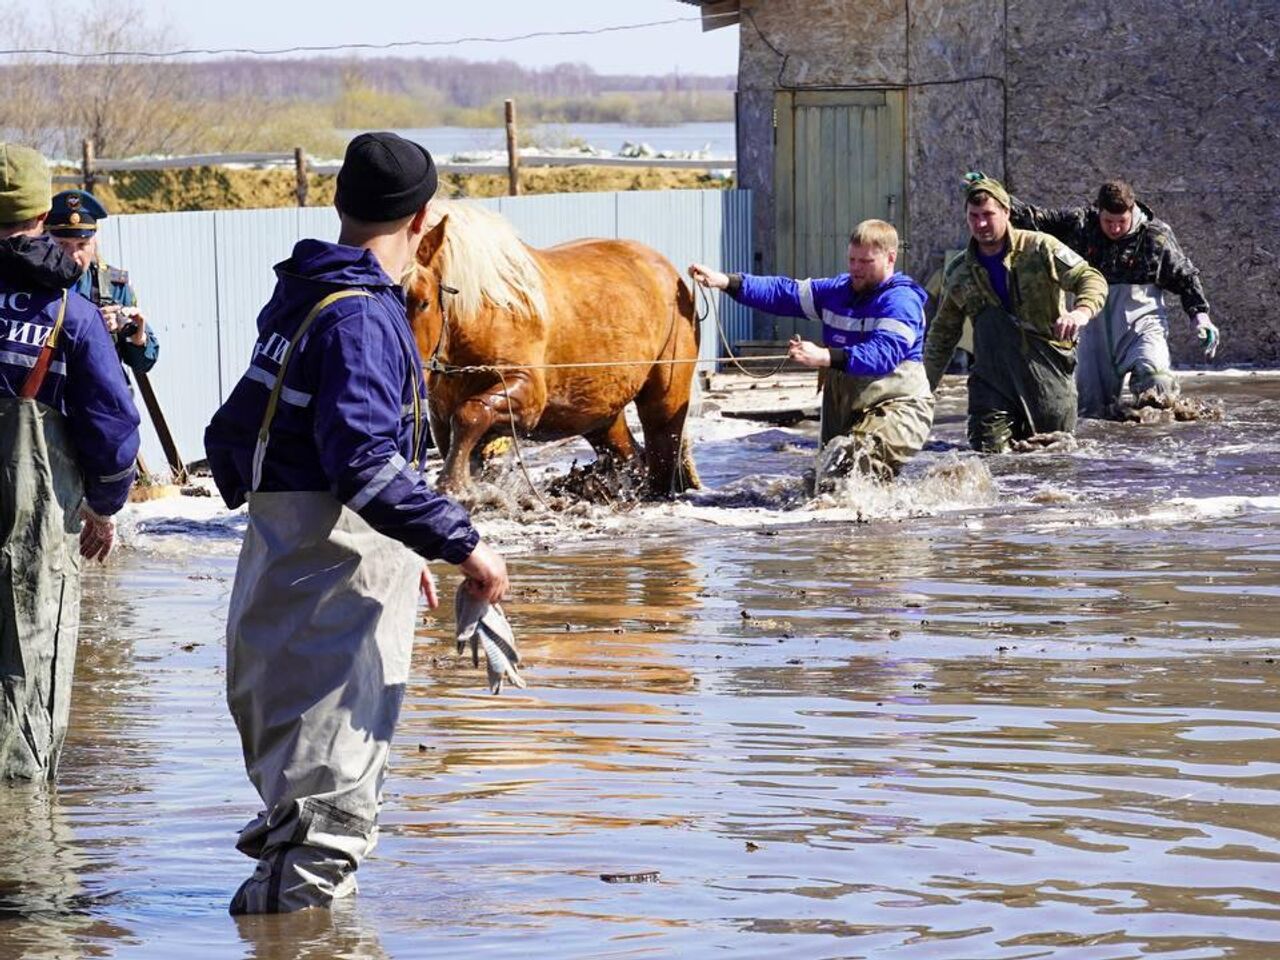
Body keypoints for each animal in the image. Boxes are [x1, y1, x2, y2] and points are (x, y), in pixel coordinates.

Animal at [407, 203, 701, 504]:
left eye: (423, 302)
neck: (484, 310)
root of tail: (672, 275)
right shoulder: (441, 416)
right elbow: (462, 440)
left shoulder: (527, 391)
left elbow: (470, 414)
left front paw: (452, 486)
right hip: (600, 414)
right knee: (631, 457)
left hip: (665, 397)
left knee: (661, 448)